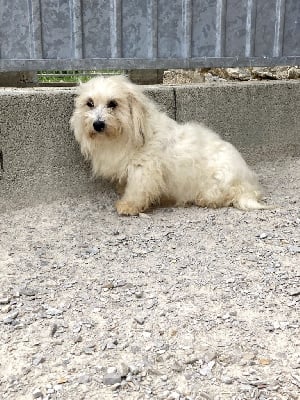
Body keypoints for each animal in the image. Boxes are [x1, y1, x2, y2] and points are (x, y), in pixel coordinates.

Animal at [70, 76, 268, 217]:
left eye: (113, 103)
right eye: (89, 103)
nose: (98, 124)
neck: (126, 135)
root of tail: (248, 186)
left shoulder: (144, 169)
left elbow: (137, 191)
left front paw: (128, 206)